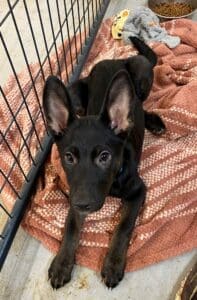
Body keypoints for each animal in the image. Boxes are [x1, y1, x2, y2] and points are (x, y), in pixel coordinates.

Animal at [42, 36, 165, 290]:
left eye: (104, 157)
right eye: (69, 157)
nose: (83, 204)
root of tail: (115, 59)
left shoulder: (138, 190)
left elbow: (124, 226)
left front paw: (113, 264)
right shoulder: (75, 194)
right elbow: (71, 226)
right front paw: (62, 263)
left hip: (141, 72)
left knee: (141, 104)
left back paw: (154, 121)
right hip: (74, 92)